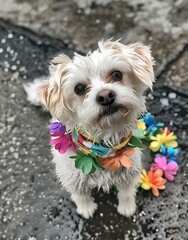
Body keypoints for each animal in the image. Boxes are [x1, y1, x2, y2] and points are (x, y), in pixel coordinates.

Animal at [25, 40, 154, 218]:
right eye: (79, 88)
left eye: (116, 74)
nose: (105, 96)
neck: (105, 143)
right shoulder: (72, 177)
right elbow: (80, 195)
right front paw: (86, 209)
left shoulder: (130, 171)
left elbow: (126, 192)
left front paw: (127, 208)